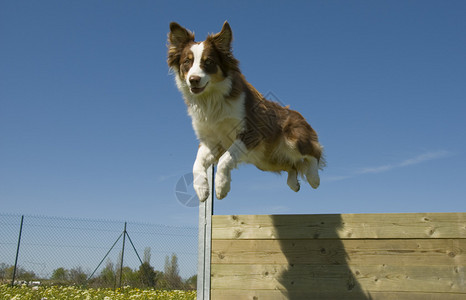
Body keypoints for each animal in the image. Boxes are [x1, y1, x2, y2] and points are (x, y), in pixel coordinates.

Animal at [167, 21, 324, 202]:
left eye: (209, 62)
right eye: (187, 62)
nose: (193, 80)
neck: (211, 99)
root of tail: (299, 115)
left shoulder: (252, 131)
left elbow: (224, 159)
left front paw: (221, 187)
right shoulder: (210, 141)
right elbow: (196, 164)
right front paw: (202, 189)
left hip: (293, 139)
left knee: (314, 152)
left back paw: (314, 178)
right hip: (265, 160)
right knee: (292, 166)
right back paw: (294, 183)